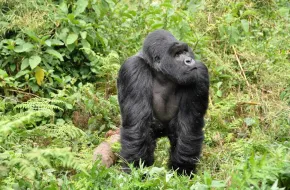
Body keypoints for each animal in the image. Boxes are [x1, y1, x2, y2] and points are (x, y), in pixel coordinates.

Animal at [116, 29, 210, 175]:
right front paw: (135, 171)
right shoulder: (133, 69)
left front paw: (182, 170)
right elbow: (137, 127)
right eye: (177, 54)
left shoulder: (199, 72)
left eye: (185, 51)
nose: (189, 60)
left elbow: (189, 127)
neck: (162, 74)